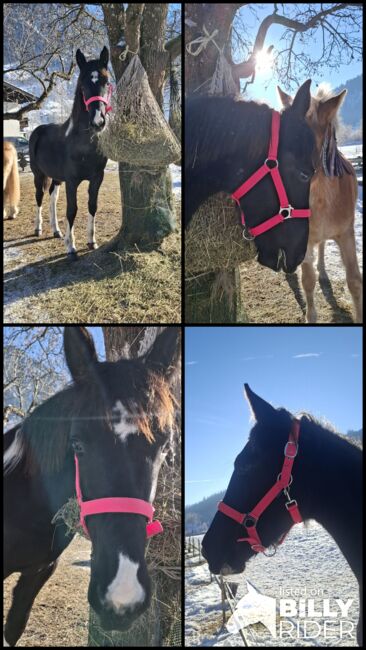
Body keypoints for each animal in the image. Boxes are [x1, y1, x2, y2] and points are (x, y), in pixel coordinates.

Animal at [278, 83, 362, 322]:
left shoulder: (347, 234)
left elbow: (354, 281)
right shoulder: (304, 240)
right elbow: (307, 281)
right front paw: (311, 317)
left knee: (323, 246)